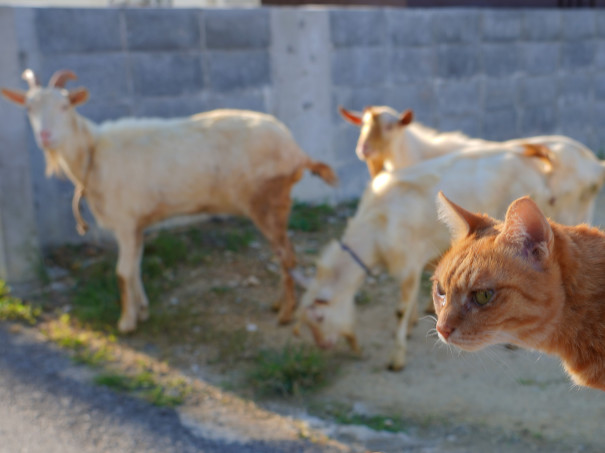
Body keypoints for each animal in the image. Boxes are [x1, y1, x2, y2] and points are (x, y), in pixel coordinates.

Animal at [2, 69, 338, 332]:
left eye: (64, 105)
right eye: (29, 108)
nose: (45, 136)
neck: (93, 154)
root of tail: (296, 151)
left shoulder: (124, 222)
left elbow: (122, 272)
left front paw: (126, 322)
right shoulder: (136, 225)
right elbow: (135, 268)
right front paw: (143, 310)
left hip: (268, 200)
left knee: (287, 255)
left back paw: (285, 314)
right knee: (284, 255)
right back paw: (279, 305)